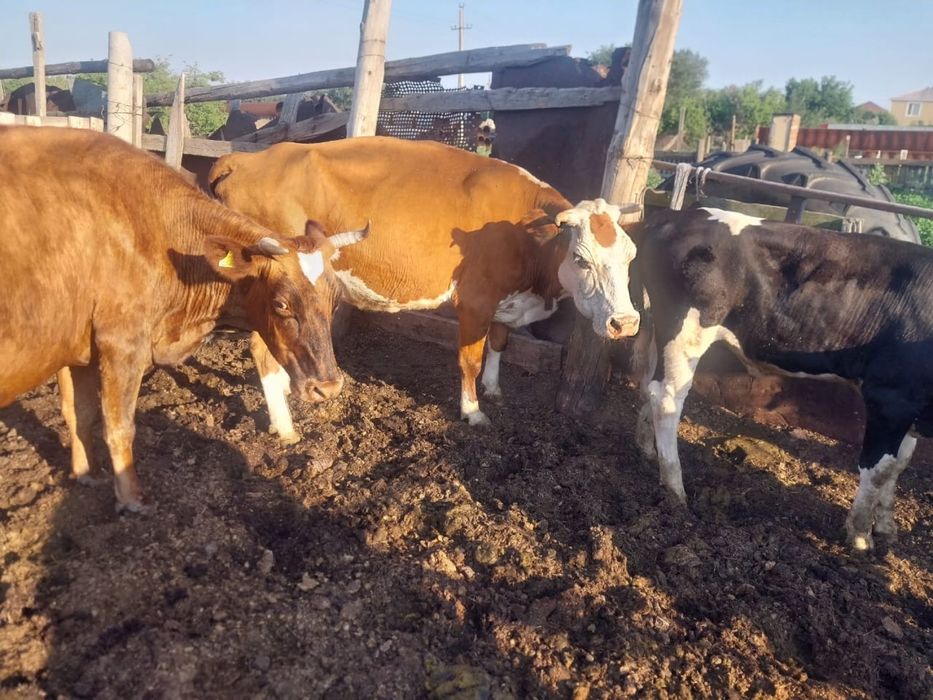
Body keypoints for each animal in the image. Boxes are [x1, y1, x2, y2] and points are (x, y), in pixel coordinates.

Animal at [0, 126, 367, 511]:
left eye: (335, 300)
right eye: (281, 304)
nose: (328, 387)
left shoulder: (80, 350)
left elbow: (79, 413)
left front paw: (87, 474)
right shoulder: (122, 344)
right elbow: (119, 425)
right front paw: (131, 497)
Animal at [209, 137, 642, 438]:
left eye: (631, 256)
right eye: (582, 259)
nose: (625, 323)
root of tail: (248, 158)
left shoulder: (504, 301)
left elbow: (499, 344)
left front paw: (494, 388)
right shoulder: (475, 302)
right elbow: (470, 359)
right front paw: (473, 410)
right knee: (260, 350)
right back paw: (284, 427)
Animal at [629, 206, 933, 551]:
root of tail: (677, 216)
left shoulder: (912, 405)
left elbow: (899, 464)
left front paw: (886, 526)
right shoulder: (890, 397)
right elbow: (879, 468)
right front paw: (860, 536)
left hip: (658, 331)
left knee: (647, 382)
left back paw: (646, 448)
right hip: (686, 332)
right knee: (666, 398)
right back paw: (675, 488)